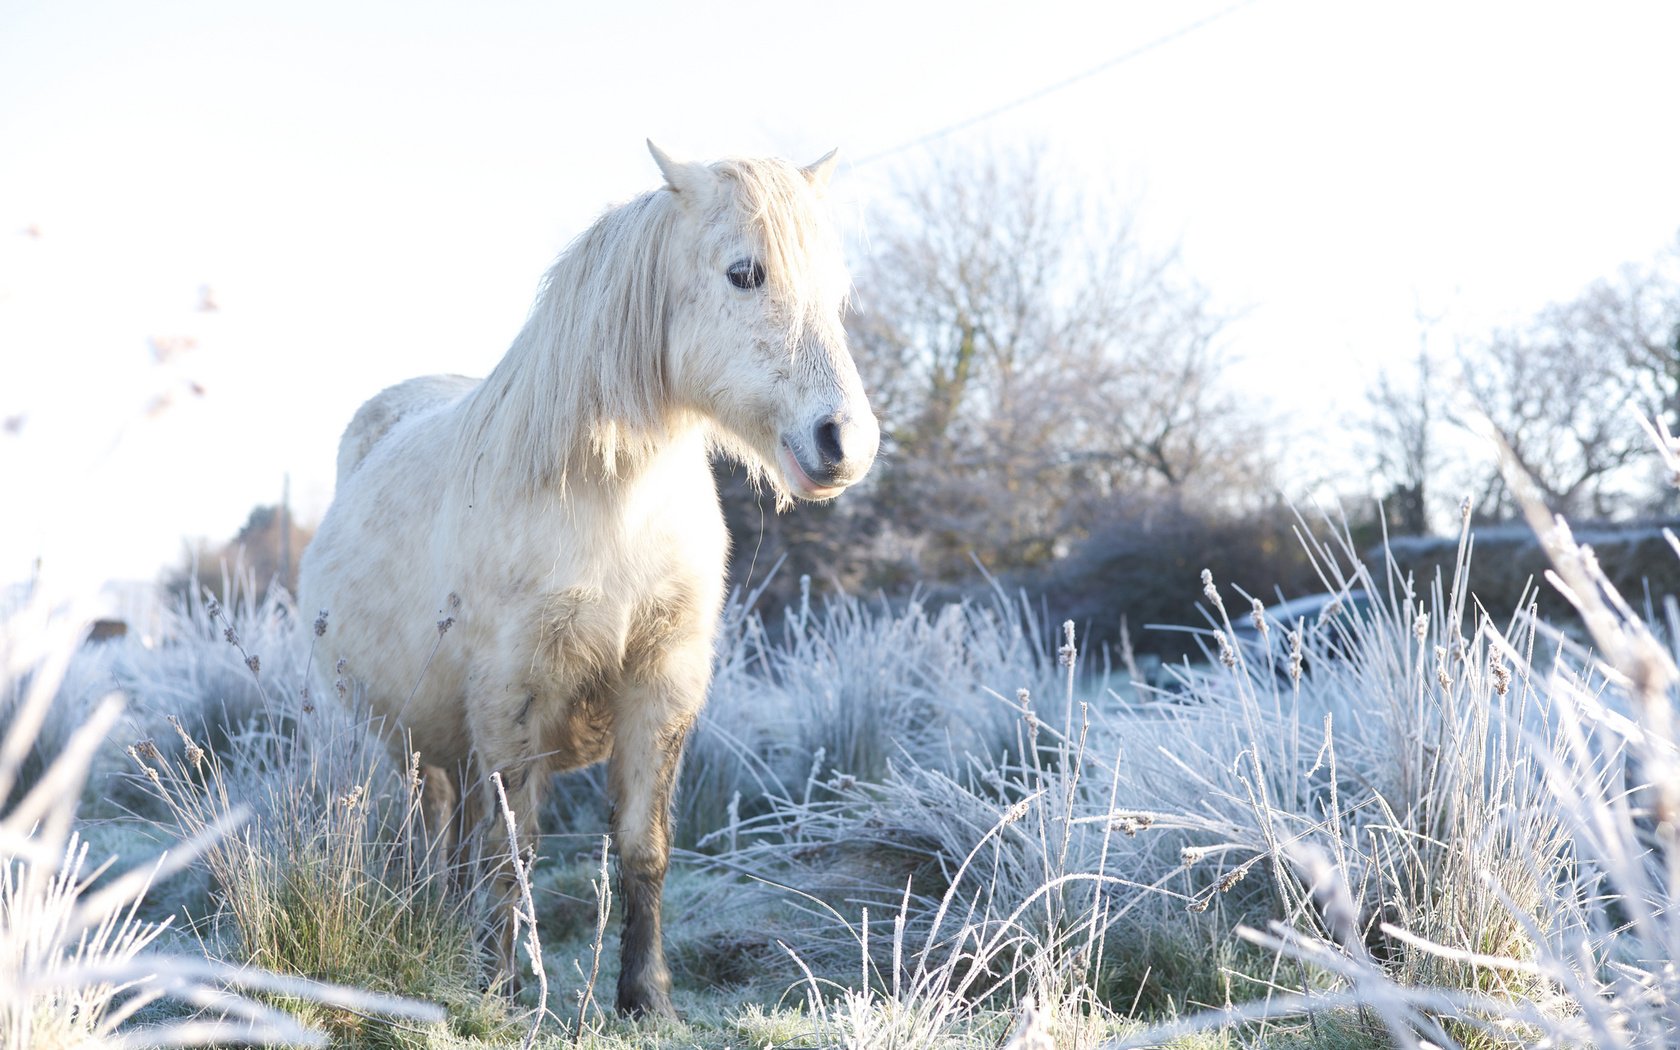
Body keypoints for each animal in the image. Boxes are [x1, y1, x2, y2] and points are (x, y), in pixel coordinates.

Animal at [299, 141, 880, 1014]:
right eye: (745, 272)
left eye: (836, 290)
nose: (844, 440)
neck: (612, 503)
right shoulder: (514, 697)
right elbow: (514, 853)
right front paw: (504, 990)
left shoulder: (661, 686)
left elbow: (642, 846)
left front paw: (646, 997)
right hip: (413, 742)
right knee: (433, 832)